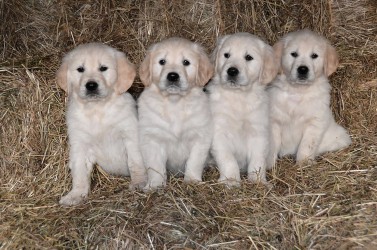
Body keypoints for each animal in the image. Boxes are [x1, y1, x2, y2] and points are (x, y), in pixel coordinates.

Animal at [56, 43, 146, 206]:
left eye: (103, 68)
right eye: (80, 69)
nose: (91, 85)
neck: (97, 110)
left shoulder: (130, 136)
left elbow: (135, 162)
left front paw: (139, 182)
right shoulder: (80, 145)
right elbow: (79, 172)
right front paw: (76, 194)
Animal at [138, 37, 214, 189]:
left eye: (186, 62)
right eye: (162, 61)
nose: (173, 76)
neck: (175, 103)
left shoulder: (200, 136)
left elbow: (194, 162)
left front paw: (192, 181)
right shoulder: (152, 138)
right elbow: (155, 166)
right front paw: (155, 185)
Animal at [207, 32, 278, 186]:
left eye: (248, 57)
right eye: (226, 55)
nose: (232, 71)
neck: (238, 96)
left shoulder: (258, 133)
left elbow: (258, 160)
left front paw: (258, 181)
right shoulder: (220, 133)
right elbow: (228, 160)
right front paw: (231, 181)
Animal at [268, 29, 350, 167]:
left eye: (314, 56)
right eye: (294, 54)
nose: (302, 69)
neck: (298, 91)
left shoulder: (315, 122)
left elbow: (307, 145)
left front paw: (304, 163)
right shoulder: (274, 120)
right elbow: (272, 144)